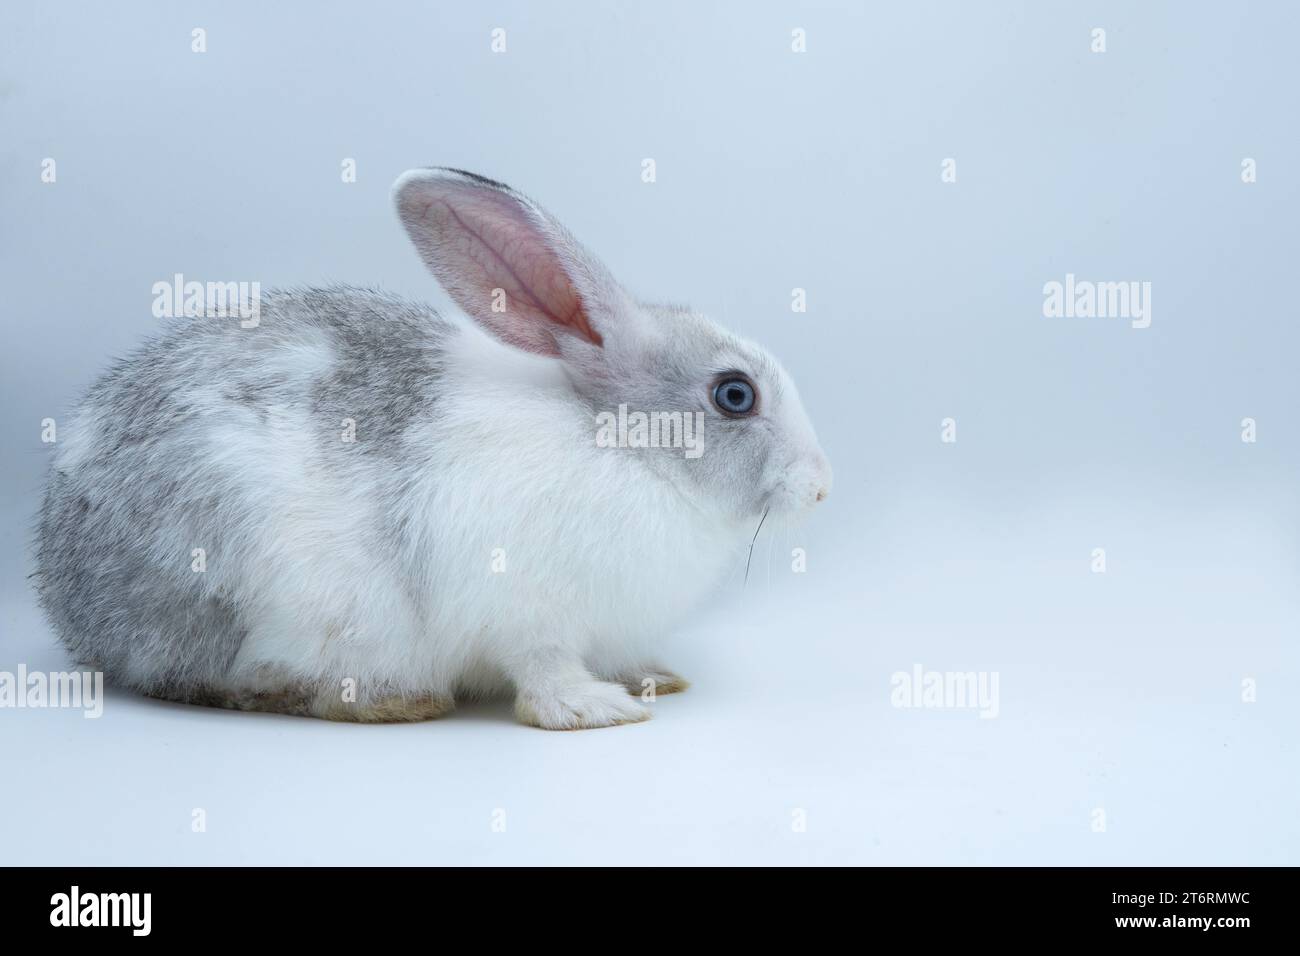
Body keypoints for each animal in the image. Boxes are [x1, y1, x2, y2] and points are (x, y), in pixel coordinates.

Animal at [40, 167, 837, 728]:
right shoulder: (526, 611)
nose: (821, 485)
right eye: (734, 395)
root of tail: (71, 604)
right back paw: (388, 702)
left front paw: (655, 678)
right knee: (220, 681)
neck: (625, 448)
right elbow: (543, 667)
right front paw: (595, 709)